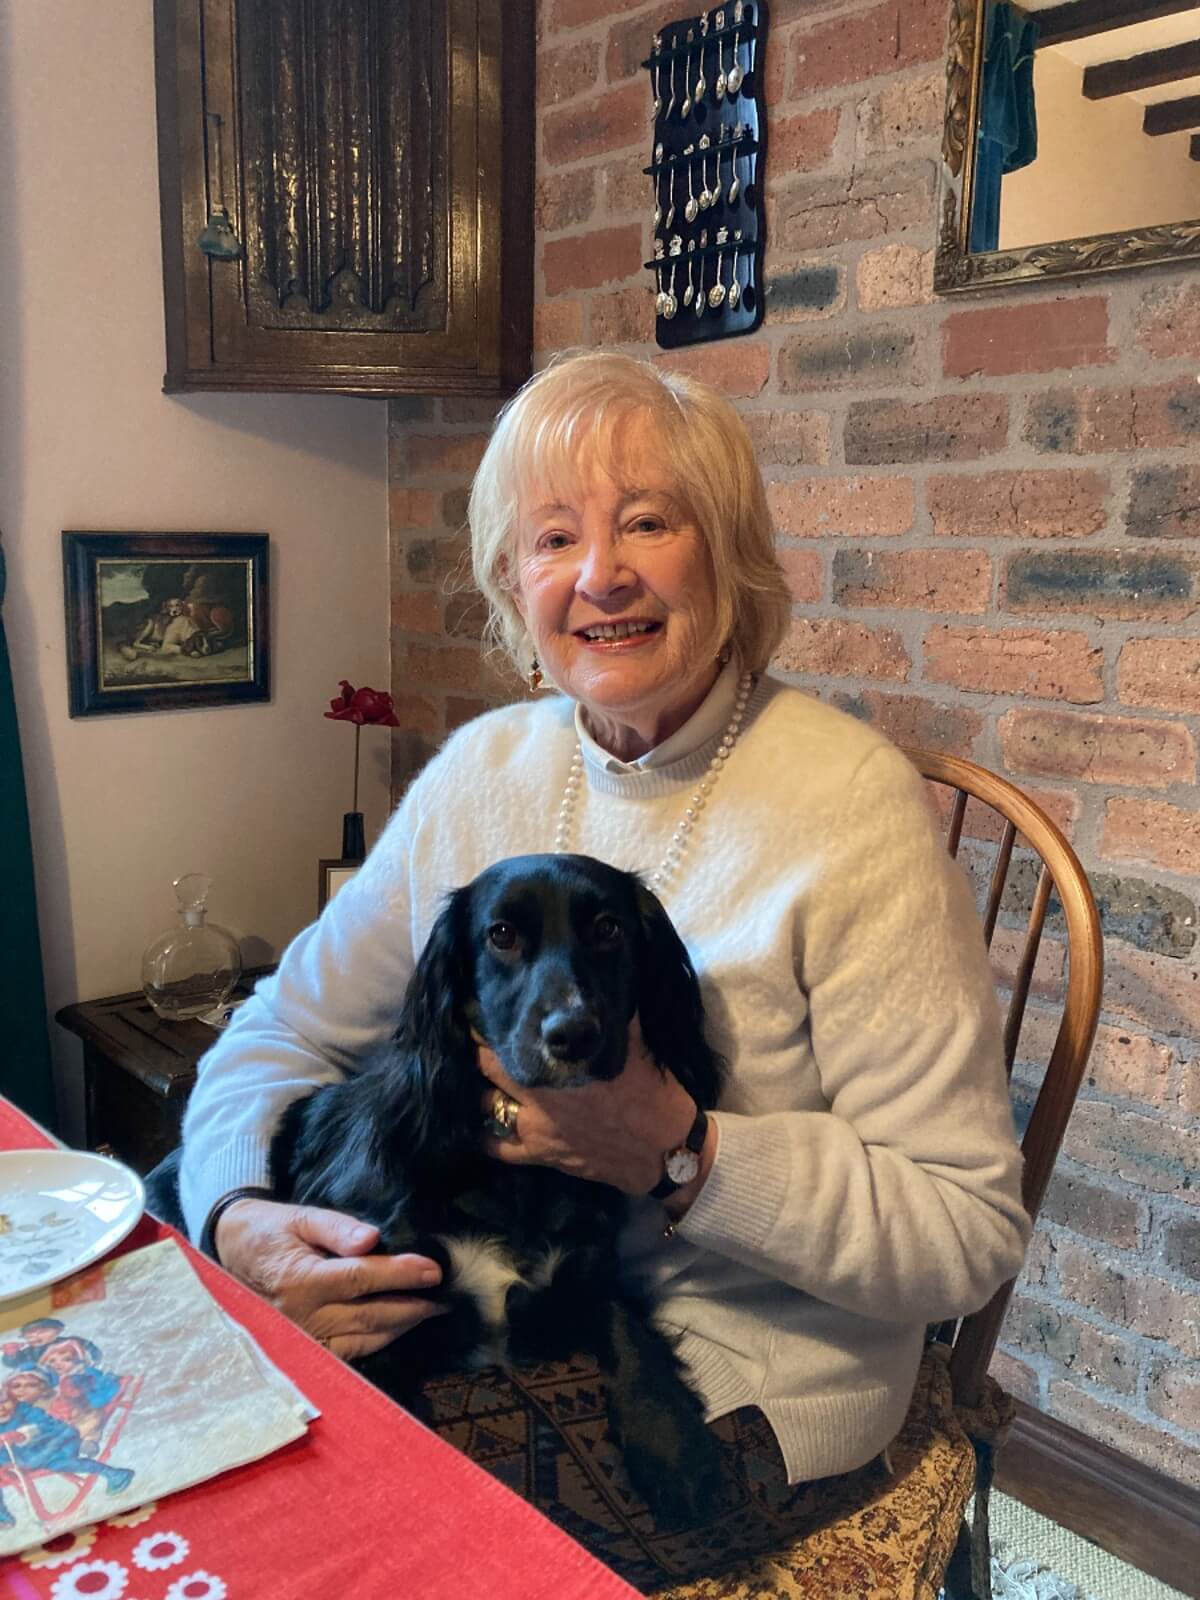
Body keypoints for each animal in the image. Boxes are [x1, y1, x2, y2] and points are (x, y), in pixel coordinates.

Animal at [272, 851, 723, 1523]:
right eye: (502, 934)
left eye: (609, 929)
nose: (572, 1034)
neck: (519, 1180)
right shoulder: (374, 1297)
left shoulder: (584, 1271)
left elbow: (629, 1330)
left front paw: (675, 1448)